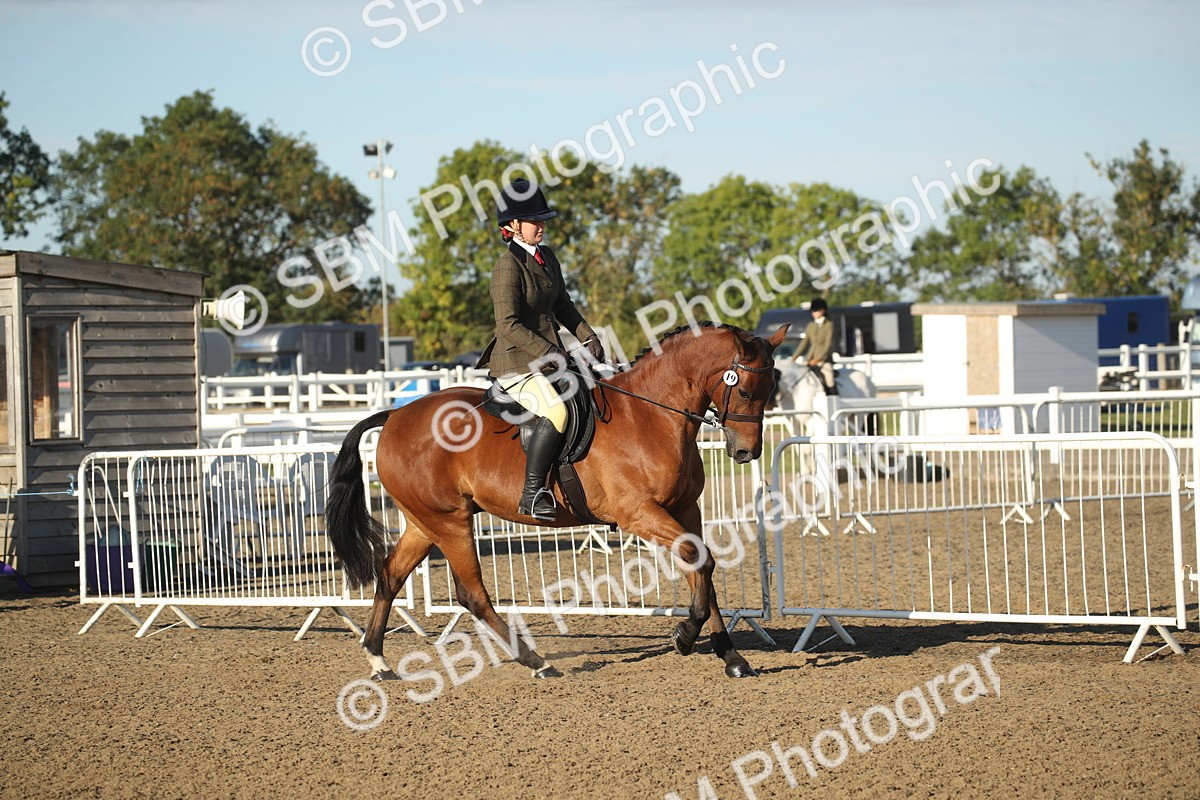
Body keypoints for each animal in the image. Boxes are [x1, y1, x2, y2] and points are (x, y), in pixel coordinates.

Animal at [326, 322, 790, 680]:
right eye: (745, 391)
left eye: (772, 389)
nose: (746, 453)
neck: (652, 416)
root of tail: (395, 415)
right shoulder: (639, 514)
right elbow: (701, 563)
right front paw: (685, 636)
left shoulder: (685, 510)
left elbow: (702, 569)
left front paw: (731, 657)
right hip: (449, 521)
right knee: (472, 595)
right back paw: (537, 662)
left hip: (425, 522)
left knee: (390, 576)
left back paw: (378, 661)